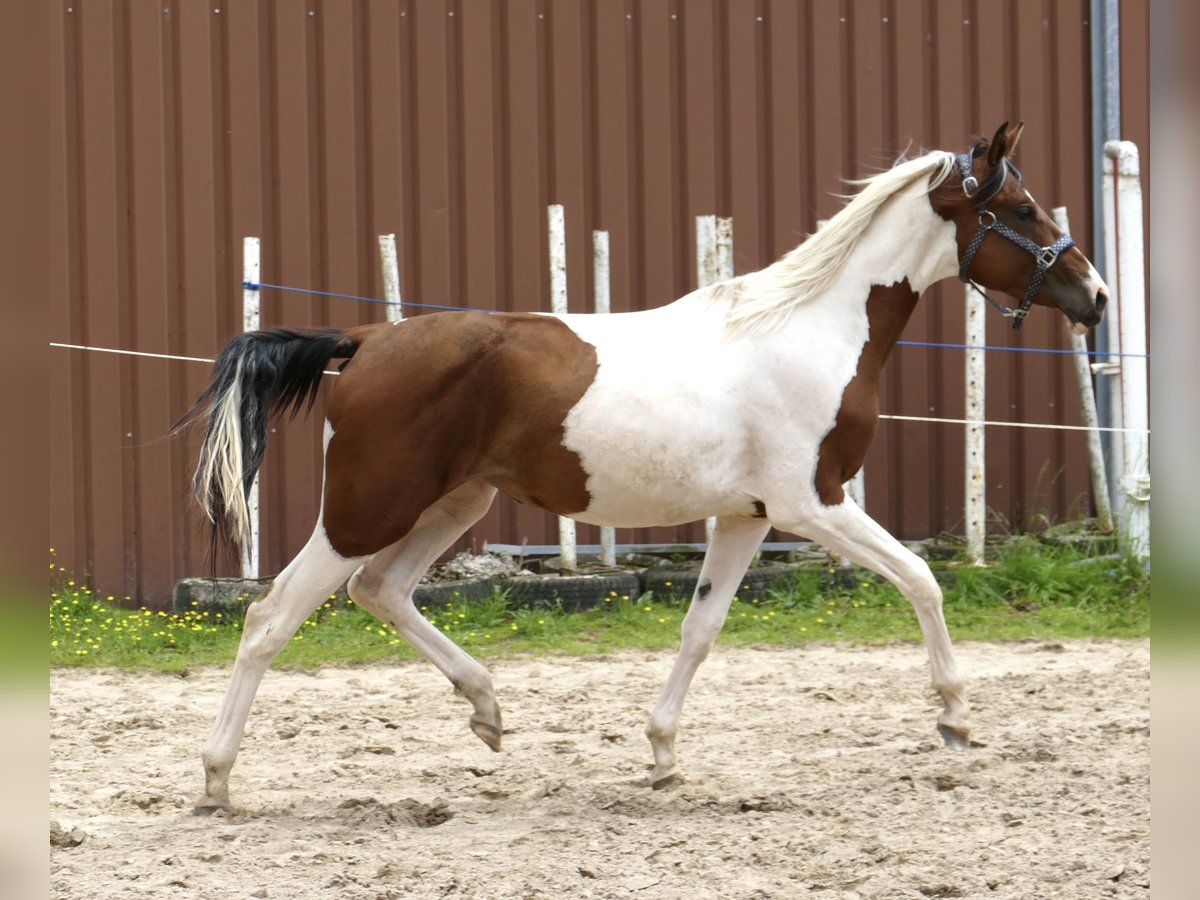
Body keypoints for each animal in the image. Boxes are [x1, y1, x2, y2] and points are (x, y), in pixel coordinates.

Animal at [177, 121, 1104, 811]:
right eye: (1022, 209)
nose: (1094, 298)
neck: (810, 329)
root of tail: (365, 339)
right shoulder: (814, 504)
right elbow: (922, 579)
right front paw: (955, 719)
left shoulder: (747, 517)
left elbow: (700, 629)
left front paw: (661, 755)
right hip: (368, 508)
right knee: (273, 616)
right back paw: (217, 781)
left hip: (454, 504)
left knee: (383, 590)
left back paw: (488, 710)